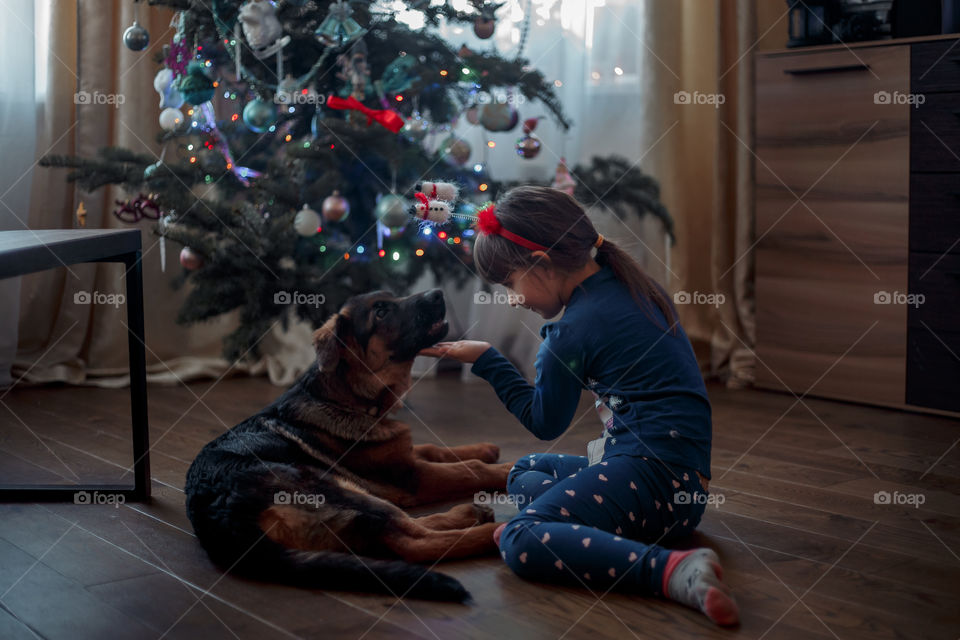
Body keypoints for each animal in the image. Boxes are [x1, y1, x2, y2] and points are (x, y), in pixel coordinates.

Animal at [182, 288, 510, 600]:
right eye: (380, 312)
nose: (438, 294)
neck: (348, 396)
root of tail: (217, 515)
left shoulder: (402, 453)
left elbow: (433, 449)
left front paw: (485, 448)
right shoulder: (414, 477)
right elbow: (472, 470)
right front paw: (508, 468)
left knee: (400, 530)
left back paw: (471, 514)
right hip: (335, 486)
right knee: (413, 541)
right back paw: (496, 531)